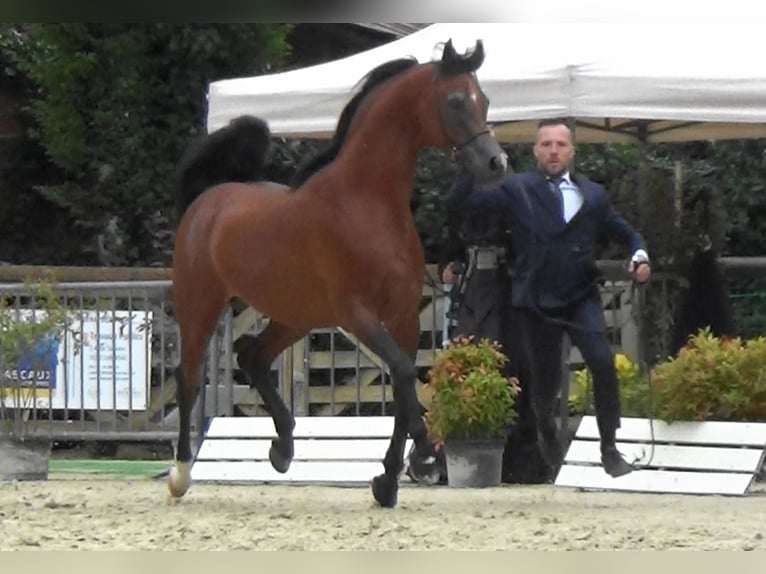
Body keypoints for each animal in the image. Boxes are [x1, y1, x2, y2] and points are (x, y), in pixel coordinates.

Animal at [168, 38, 509, 508]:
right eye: (456, 101)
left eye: (486, 100)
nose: (497, 163)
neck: (366, 204)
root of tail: (209, 200)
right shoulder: (357, 314)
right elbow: (403, 374)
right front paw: (423, 458)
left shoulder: (402, 316)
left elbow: (402, 382)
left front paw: (388, 480)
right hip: (200, 305)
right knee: (188, 378)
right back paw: (181, 474)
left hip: (295, 316)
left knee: (252, 357)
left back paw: (283, 448)